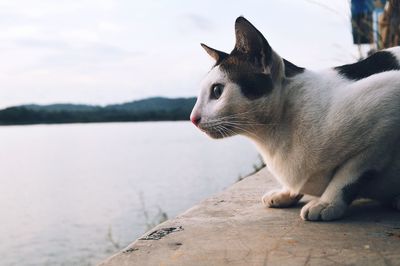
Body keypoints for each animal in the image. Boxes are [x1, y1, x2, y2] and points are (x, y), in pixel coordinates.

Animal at [190, 16, 400, 220]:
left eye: (217, 91)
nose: (193, 118)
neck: (272, 137)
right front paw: (287, 193)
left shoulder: (385, 115)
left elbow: (347, 175)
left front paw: (327, 203)